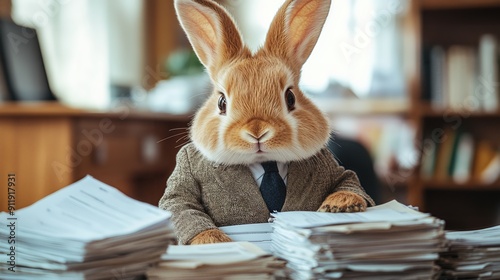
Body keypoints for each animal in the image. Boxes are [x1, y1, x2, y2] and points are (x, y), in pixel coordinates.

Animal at [158, 0, 374, 245]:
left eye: (290, 98)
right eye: (222, 102)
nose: (257, 131)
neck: (265, 162)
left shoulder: (332, 167)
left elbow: (349, 180)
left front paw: (341, 204)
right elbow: (179, 203)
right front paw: (213, 241)